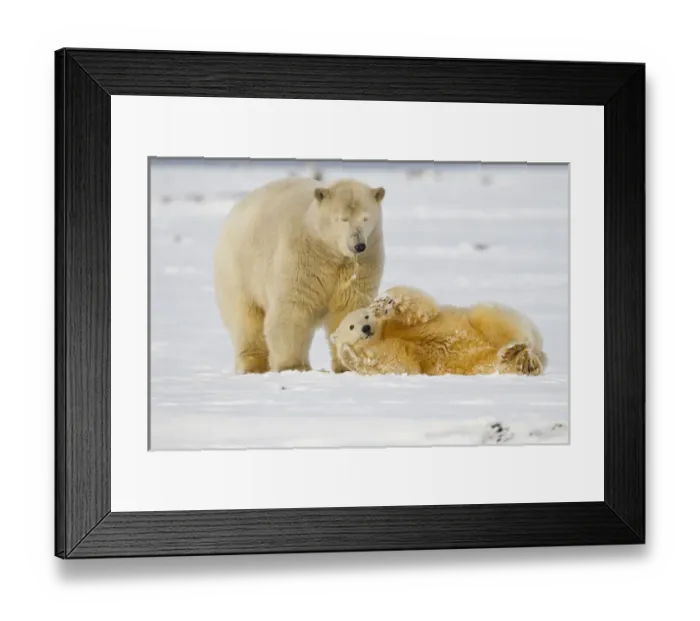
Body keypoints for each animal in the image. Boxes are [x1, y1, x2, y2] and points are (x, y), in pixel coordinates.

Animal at [214, 177, 386, 374]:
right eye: (342, 219)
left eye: (366, 218)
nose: (358, 245)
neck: (331, 252)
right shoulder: (302, 258)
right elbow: (293, 307)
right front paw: (293, 366)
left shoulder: (363, 263)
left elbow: (348, 306)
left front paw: (348, 364)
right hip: (239, 271)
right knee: (246, 320)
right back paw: (253, 366)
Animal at [330, 286, 547, 376]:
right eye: (351, 326)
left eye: (366, 316)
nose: (366, 328)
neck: (382, 335)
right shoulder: (391, 349)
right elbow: (401, 365)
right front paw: (348, 354)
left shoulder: (397, 325)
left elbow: (422, 308)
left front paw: (385, 302)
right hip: (482, 363)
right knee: (499, 365)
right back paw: (520, 360)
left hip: (490, 317)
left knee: (492, 319)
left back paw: (516, 349)